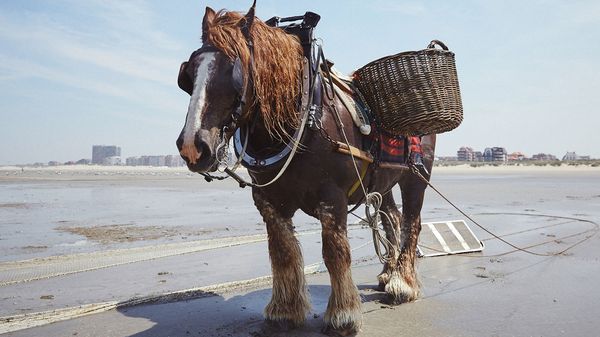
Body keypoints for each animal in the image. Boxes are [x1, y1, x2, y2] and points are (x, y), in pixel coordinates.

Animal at [175, 2, 436, 334]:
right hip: (383, 180)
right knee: (391, 217)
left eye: (232, 71)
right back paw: (388, 273)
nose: (193, 146)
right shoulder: (267, 201)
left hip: (416, 176)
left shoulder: (332, 197)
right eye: (188, 75)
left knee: (412, 222)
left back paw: (403, 283)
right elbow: (282, 252)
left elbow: (335, 252)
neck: (303, 117)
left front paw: (343, 315)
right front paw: (285, 310)